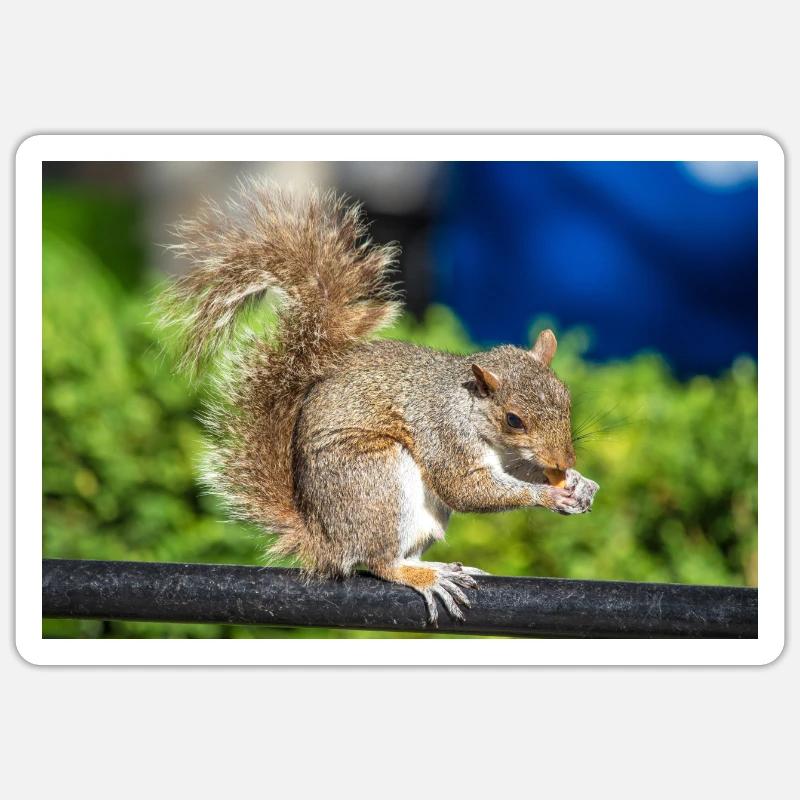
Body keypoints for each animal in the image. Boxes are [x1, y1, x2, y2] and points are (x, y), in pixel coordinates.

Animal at [159, 177, 599, 625]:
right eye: (513, 420)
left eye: (566, 398)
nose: (565, 460)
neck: (470, 409)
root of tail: (326, 539)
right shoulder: (444, 434)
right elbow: (465, 489)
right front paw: (550, 495)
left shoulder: (509, 457)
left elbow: (516, 471)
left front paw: (579, 483)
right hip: (377, 478)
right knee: (380, 561)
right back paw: (424, 576)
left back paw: (436, 567)